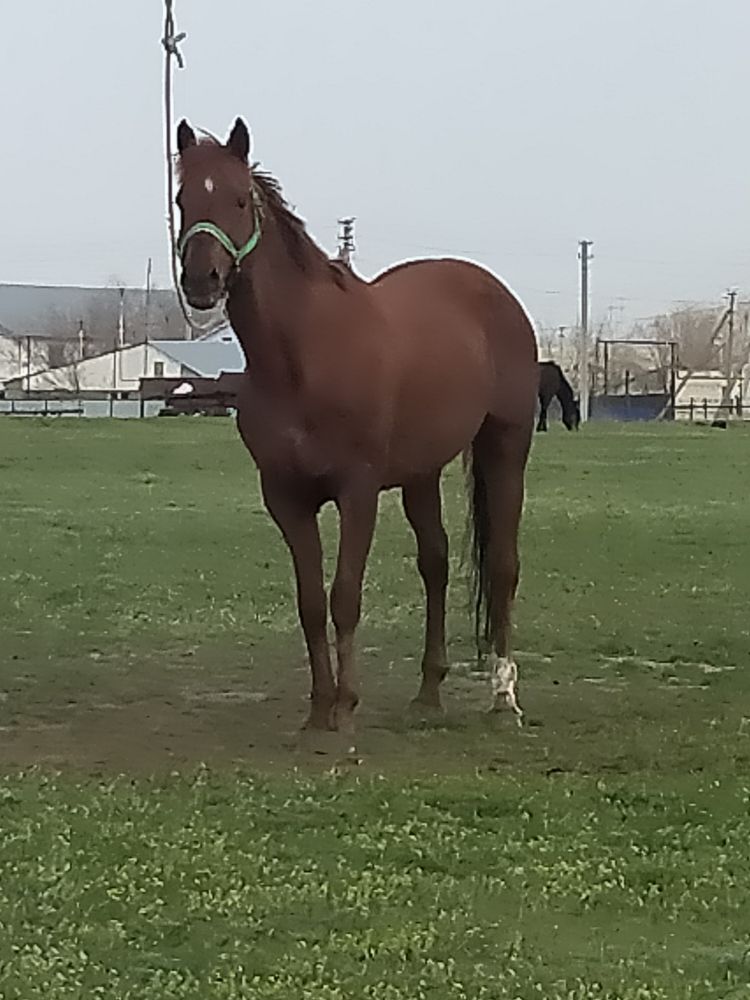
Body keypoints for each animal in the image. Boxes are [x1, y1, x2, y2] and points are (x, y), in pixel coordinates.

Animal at [176, 117, 540, 744]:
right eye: (181, 200)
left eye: (240, 199)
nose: (202, 280)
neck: (303, 356)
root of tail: (492, 291)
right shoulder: (286, 498)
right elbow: (309, 602)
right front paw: (318, 708)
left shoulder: (358, 490)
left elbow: (344, 595)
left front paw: (345, 707)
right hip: (422, 473)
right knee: (435, 564)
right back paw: (428, 693)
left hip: (505, 448)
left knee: (503, 568)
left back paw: (504, 697)